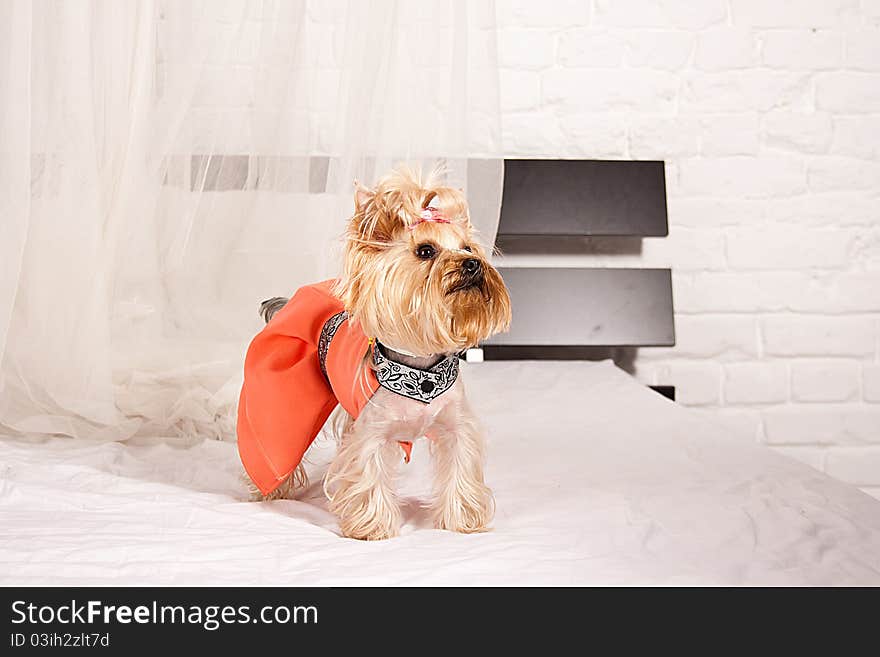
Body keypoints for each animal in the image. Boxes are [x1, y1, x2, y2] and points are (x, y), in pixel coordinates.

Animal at [237, 165, 512, 540]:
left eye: (468, 247)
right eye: (425, 251)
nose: (472, 264)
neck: (421, 369)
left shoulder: (456, 426)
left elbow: (460, 466)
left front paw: (464, 522)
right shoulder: (370, 432)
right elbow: (367, 472)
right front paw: (372, 528)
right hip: (283, 396)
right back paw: (271, 491)